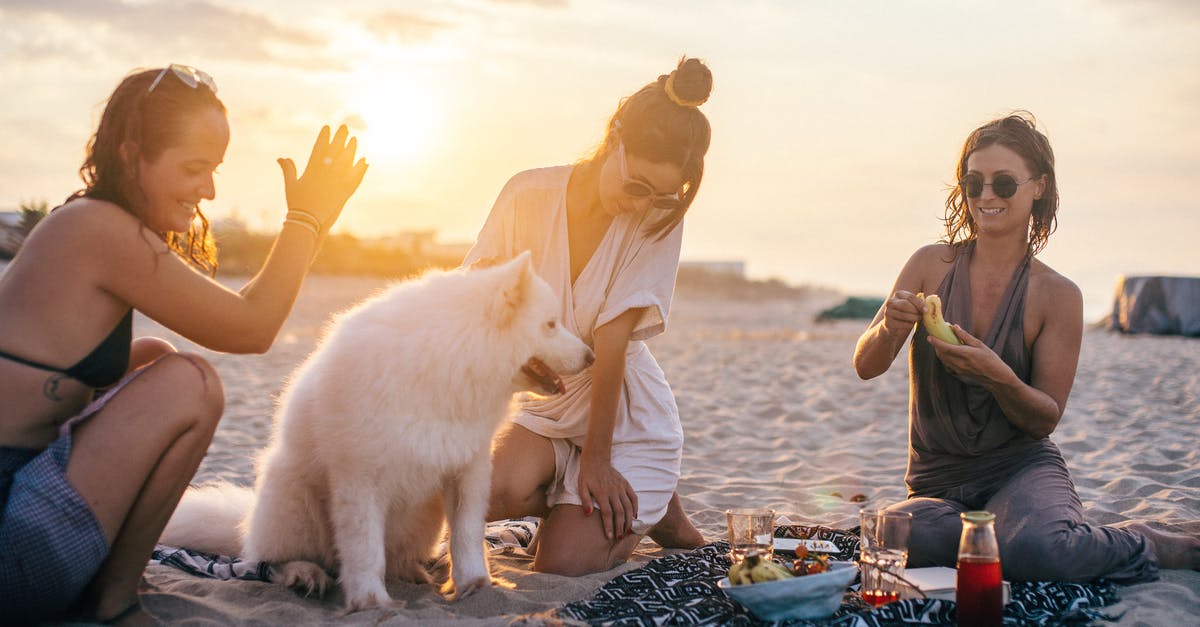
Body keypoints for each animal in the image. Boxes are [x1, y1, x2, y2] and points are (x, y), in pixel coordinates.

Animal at [162, 251, 592, 607]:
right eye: (550, 325)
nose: (591, 355)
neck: (446, 362)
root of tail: (247, 519)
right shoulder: (358, 477)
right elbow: (364, 548)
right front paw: (370, 603)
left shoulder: (466, 469)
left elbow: (467, 536)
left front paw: (476, 586)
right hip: (294, 504)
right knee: (268, 560)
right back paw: (304, 573)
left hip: (424, 518)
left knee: (398, 558)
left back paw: (415, 573)